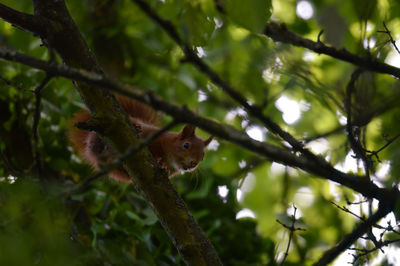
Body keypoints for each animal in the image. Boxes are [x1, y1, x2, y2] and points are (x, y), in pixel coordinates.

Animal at [69, 95, 212, 183]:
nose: (193, 164)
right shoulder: (155, 137)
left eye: (203, 157)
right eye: (186, 145)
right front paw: (160, 161)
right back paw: (134, 129)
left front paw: (164, 167)